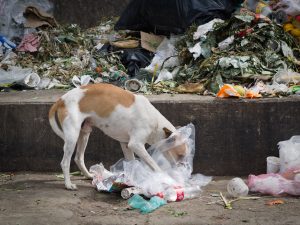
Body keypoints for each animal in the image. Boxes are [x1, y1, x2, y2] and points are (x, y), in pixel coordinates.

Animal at [48, 83, 188, 190]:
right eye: (180, 155)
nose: (183, 170)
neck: (155, 122)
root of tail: (61, 100)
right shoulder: (135, 145)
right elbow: (154, 165)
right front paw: (165, 179)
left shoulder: (126, 145)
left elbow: (132, 163)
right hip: (72, 136)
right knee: (65, 162)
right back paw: (68, 184)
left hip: (84, 134)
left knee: (78, 158)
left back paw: (88, 175)